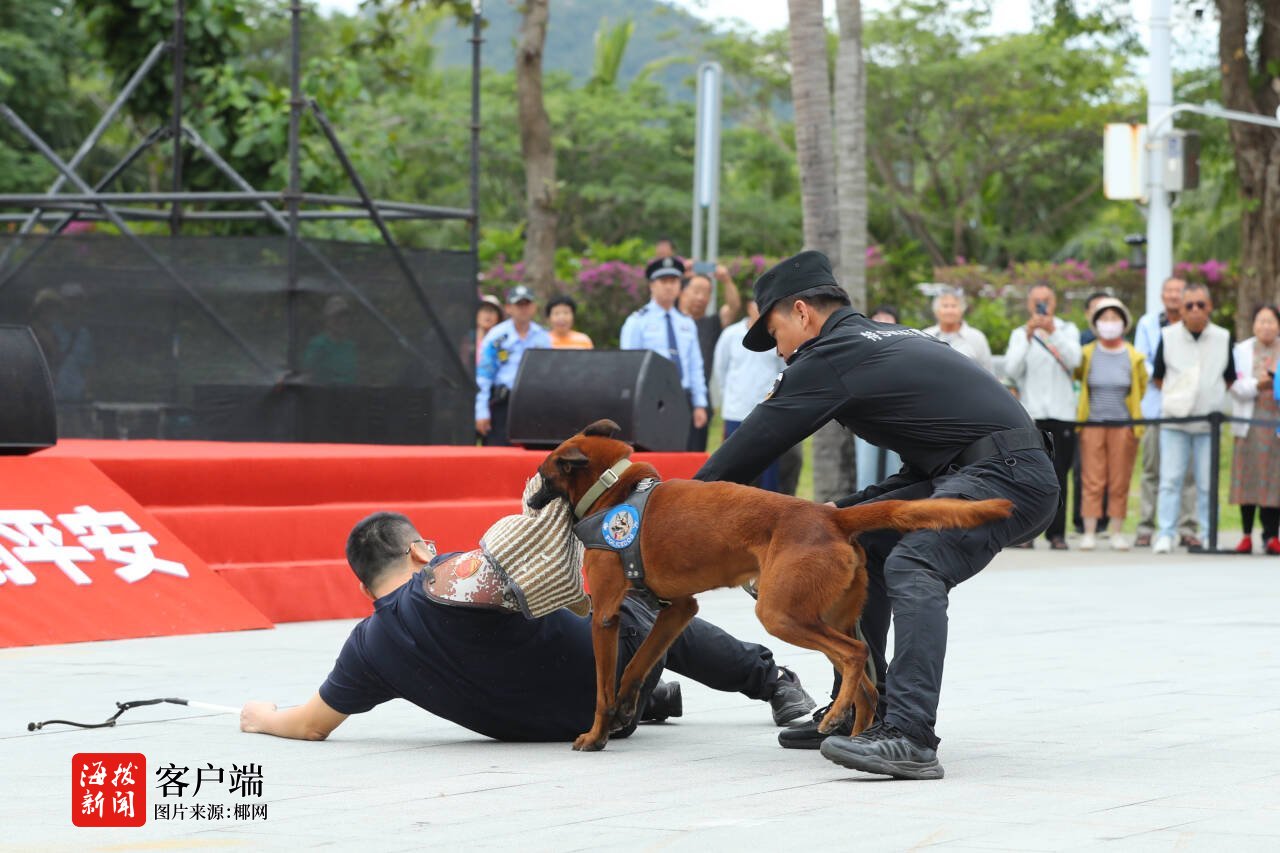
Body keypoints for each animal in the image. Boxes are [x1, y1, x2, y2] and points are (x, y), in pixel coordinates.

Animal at [528, 420, 1013, 752]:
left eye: (543, 473)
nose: (529, 500)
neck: (616, 490)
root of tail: (831, 517)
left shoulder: (606, 615)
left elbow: (603, 686)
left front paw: (595, 734)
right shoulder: (678, 610)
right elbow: (636, 665)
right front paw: (626, 708)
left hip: (781, 614)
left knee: (855, 656)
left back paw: (837, 723)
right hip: (822, 616)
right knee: (869, 687)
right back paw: (850, 737)